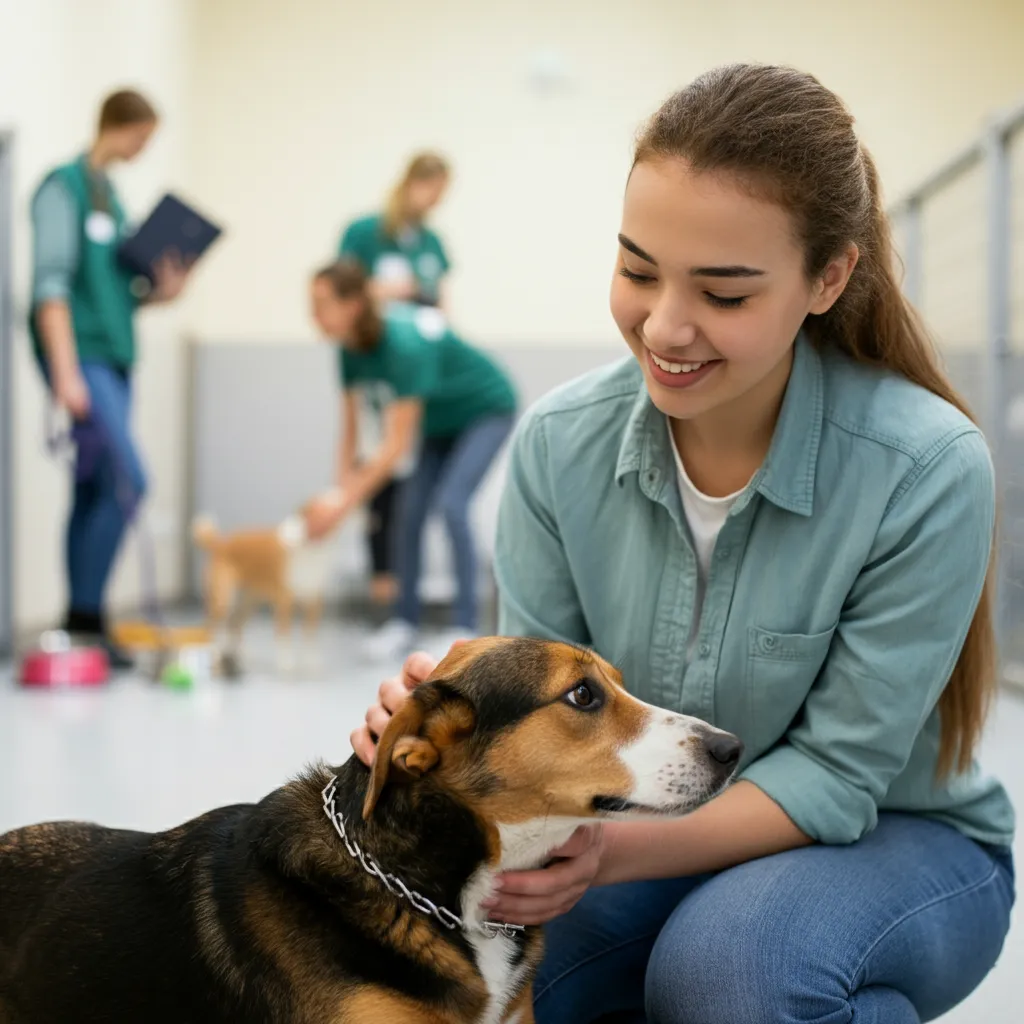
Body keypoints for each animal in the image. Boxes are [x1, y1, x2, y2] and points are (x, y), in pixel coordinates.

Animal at [192, 505, 335, 679]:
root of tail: (220, 543)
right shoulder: (284, 604)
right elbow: (284, 636)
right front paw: (286, 665)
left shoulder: (313, 605)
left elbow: (310, 638)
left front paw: (311, 664)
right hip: (223, 601)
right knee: (211, 628)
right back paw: (214, 656)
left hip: (248, 602)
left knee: (235, 624)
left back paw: (237, 655)